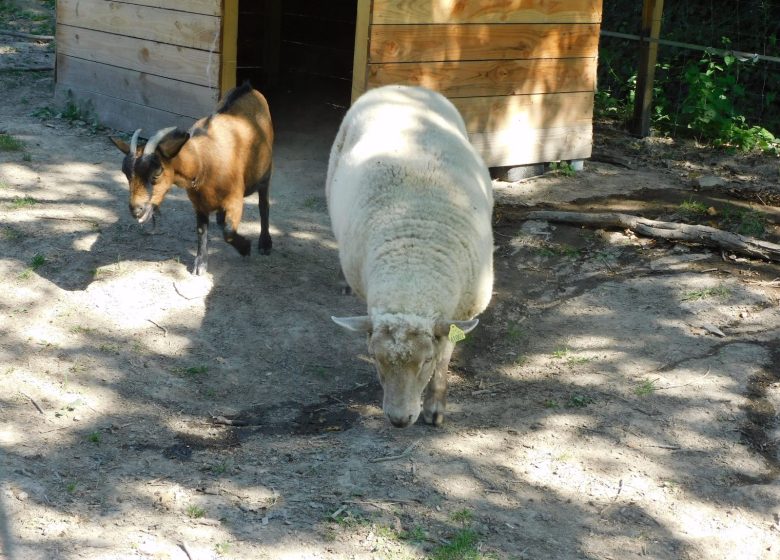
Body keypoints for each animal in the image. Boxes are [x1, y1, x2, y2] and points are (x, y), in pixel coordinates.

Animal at [109, 82, 274, 274]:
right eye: (125, 173)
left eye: (157, 172)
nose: (136, 210)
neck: (203, 163)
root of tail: (248, 87)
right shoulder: (198, 203)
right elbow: (201, 231)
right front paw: (200, 264)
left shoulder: (234, 199)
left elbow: (228, 233)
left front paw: (246, 248)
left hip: (266, 173)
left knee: (264, 205)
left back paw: (265, 243)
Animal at [328, 83, 494, 426]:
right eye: (374, 357)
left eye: (426, 359)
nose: (399, 420)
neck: (413, 268)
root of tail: (399, 86)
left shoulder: (457, 312)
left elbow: (446, 356)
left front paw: (435, 407)